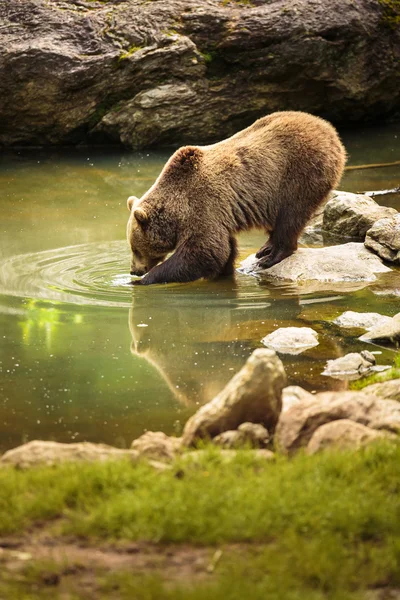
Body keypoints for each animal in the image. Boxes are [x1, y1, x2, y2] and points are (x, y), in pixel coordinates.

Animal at [126, 112, 346, 286]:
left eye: (135, 248)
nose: (133, 270)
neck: (176, 210)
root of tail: (328, 129)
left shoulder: (202, 206)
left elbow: (205, 251)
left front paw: (144, 280)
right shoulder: (219, 214)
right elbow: (223, 249)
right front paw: (222, 273)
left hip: (298, 174)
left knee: (291, 215)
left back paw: (271, 256)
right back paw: (265, 248)